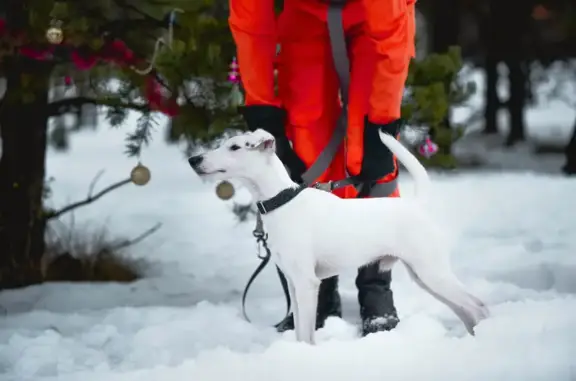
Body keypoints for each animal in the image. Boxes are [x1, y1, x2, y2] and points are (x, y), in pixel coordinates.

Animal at [191, 128, 488, 344]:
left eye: (235, 147)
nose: (194, 160)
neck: (282, 202)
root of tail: (416, 205)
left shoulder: (307, 283)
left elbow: (306, 333)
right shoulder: (293, 282)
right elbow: (300, 330)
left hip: (432, 272)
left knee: (478, 306)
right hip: (424, 277)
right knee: (466, 310)